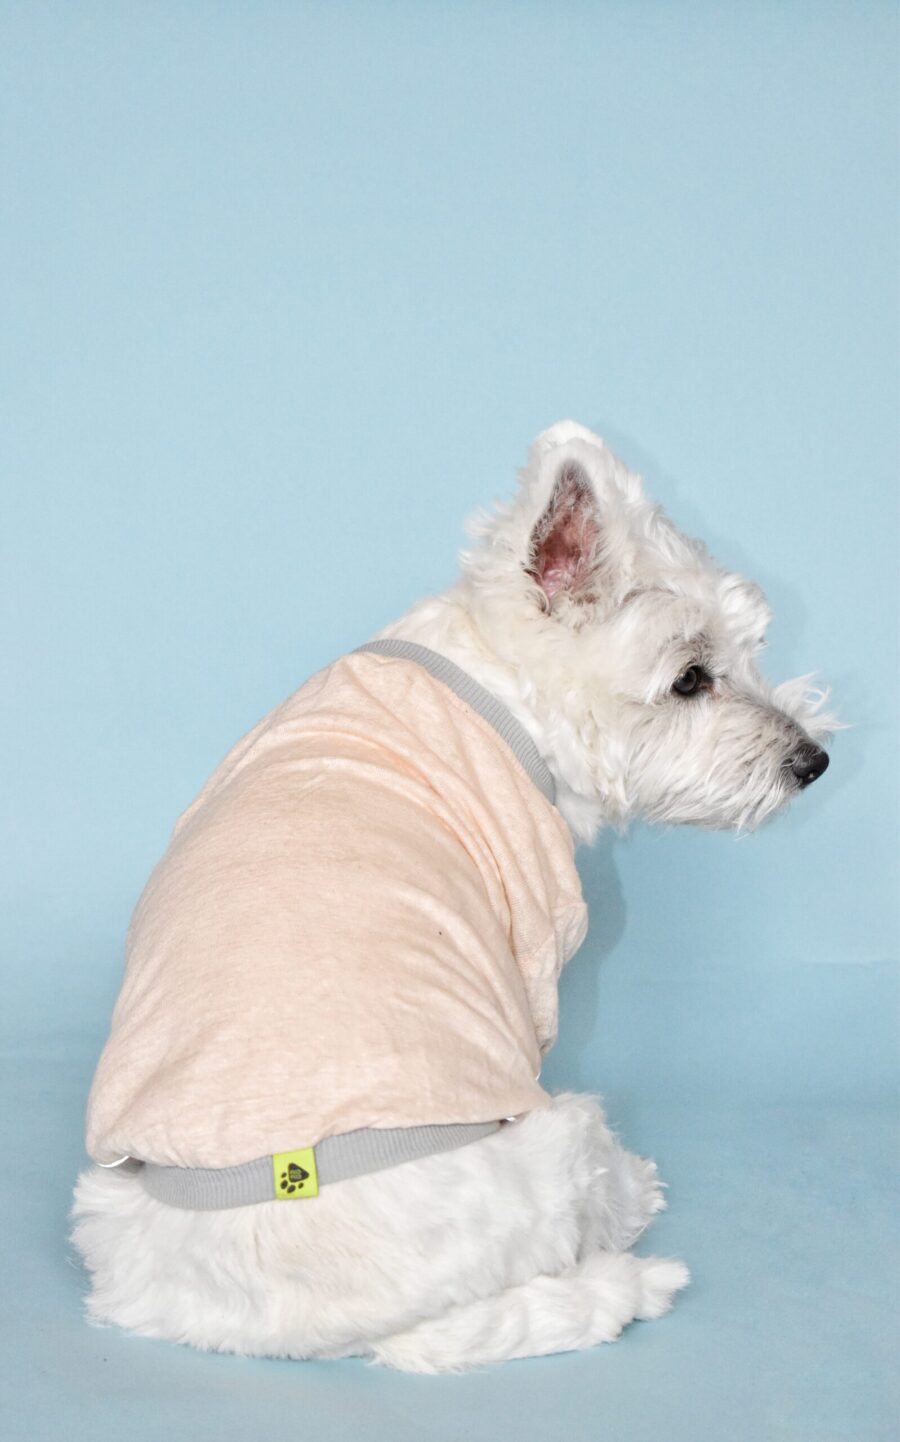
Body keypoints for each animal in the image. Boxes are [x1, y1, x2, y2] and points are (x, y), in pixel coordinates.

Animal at [70, 418, 830, 1372]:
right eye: (691, 678)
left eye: (752, 650)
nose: (814, 762)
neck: (502, 684)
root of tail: (328, 1330)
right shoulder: (533, 948)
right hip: (554, 1139)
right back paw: (636, 1209)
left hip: (110, 1214)